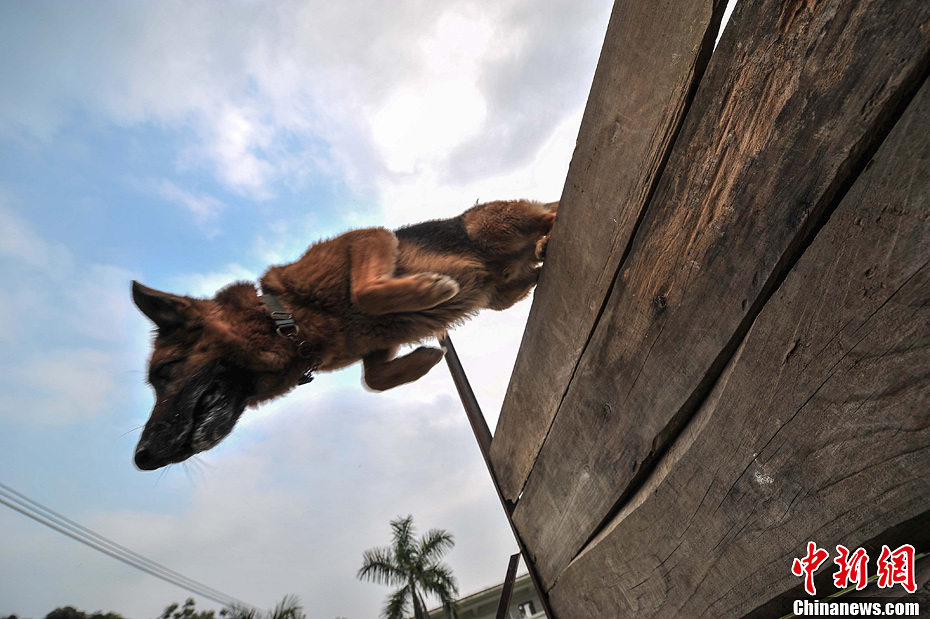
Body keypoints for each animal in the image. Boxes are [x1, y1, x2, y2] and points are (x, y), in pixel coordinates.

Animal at [129, 199, 552, 470]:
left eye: (164, 373)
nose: (142, 457)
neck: (284, 320)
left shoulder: (365, 237)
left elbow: (365, 291)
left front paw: (433, 289)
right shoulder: (378, 344)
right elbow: (374, 378)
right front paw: (425, 359)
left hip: (489, 227)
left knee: (551, 212)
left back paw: (547, 234)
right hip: (502, 295)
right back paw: (542, 252)